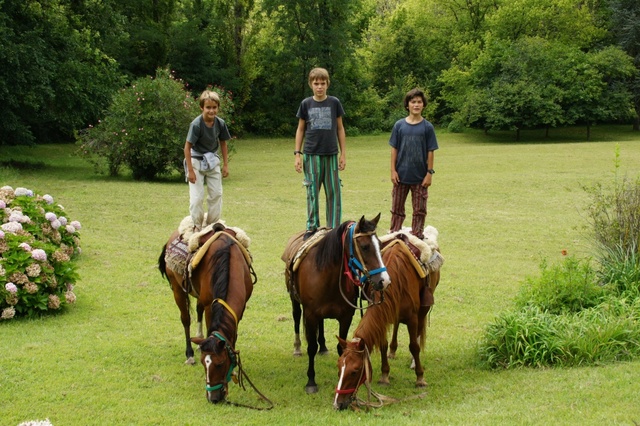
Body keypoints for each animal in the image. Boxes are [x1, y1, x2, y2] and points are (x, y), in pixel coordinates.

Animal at [159, 225, 254, 403]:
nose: (213, 398)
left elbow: (233, 336)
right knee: (186, 319)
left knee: (197, 311)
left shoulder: (240, 309)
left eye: (220, 363)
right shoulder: (211, 305)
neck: (229, 262)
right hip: (177, 289)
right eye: (204, 364)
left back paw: (198, 341)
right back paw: (189, 354)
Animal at [282, 214, 392, 394]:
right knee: (297, 318)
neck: (328, 276)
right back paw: (297, 348)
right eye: (365, 246)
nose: (384, 280)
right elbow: (311, 347)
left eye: (380, 244)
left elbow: (342, 347)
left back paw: (323, 347)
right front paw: (311, 381)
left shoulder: (346, 316)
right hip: (295, 301)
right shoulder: (310, 314)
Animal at [333, 229, 442, 410]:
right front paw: (385, 375)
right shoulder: (383, 314)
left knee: (419, 332)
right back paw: (393, 350)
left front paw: (420, 378)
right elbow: (382, 344)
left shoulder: (412, 317)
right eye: (339, 365)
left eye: (355, 371)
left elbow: (414, 346)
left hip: (423, 309)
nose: (338, 403)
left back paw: (413, 363)